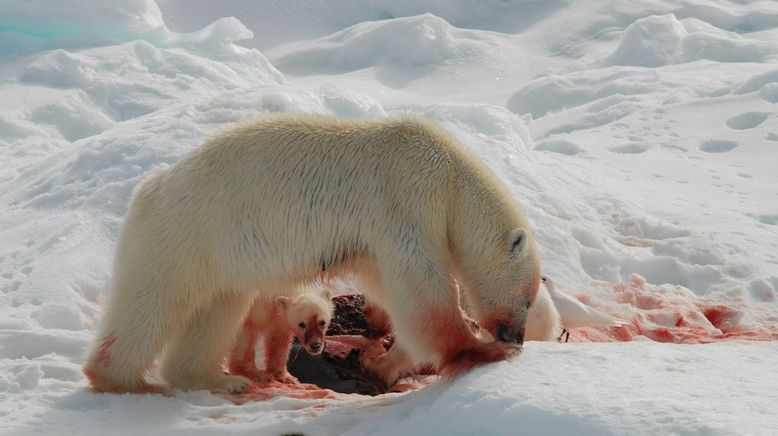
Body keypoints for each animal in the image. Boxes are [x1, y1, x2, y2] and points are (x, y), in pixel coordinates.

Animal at [80, 114, 540, 394]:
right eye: (529, 298)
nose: (516, 335)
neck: (448, 177)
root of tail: (149, 190)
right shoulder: (406, 199)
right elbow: (422, 289)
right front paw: (484, 349)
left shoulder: (372, 239)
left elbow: (387, 285)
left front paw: (381, 357)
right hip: (184, 238)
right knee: (152, 304)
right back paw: (127, 380)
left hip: (219, 258)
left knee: (216, 309)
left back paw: (217, 379)